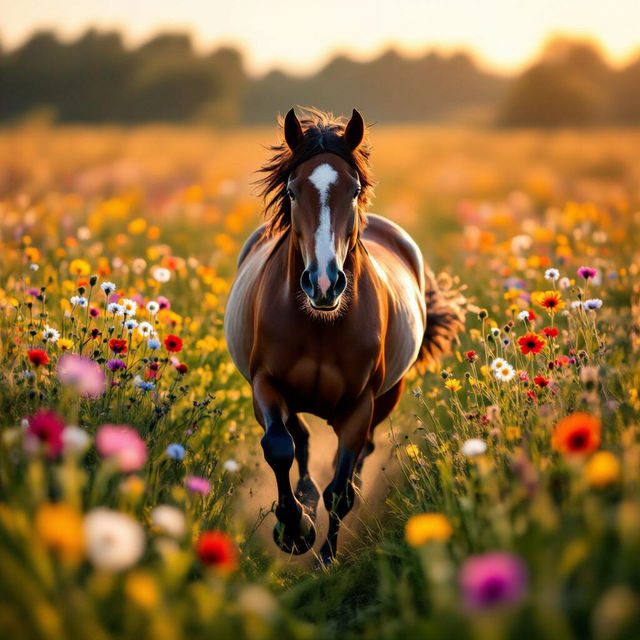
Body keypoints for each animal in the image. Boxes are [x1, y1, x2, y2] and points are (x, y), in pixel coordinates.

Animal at [224, 107, 465, 565]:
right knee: (299, 438)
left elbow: (340, 489)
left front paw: (325, 557)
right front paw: (294, 529)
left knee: (354, 456)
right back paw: (304, 498)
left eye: (353, 191)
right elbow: (279, 446)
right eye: (292, 190)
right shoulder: (265, 384)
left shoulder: (361, 404)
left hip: (386, 399)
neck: (321, 326)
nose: (324, 283)